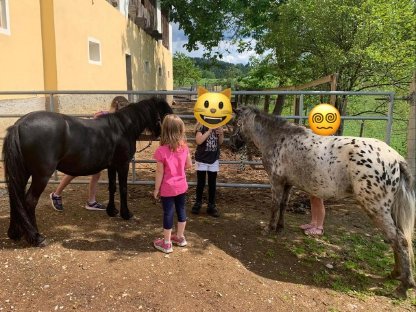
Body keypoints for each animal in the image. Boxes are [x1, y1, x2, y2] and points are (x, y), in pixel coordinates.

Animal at [2, 97, 171, 246]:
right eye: (166, 114)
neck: (122, 128)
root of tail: (19, 125)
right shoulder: (123, 165)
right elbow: (123, 189)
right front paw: (126, 214)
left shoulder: (112, 166)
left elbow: (112, 187)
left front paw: (112, 211)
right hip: (41, 176)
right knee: (29, 201)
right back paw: (37, 237)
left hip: (23, 173)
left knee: (15, 198)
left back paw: (15, 233)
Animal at [231, 106, 416, 298]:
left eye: (234, 123)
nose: (232, 145)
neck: (278, 138)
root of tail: (396, 159)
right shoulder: (288, 184)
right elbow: (283, 206)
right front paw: (279, 228)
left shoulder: (276, 182)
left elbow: (274, 206)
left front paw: (268, 229)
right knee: (396, 239)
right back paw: (395, 274)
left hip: (376, 208)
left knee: (399, 240)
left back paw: (403, 286)